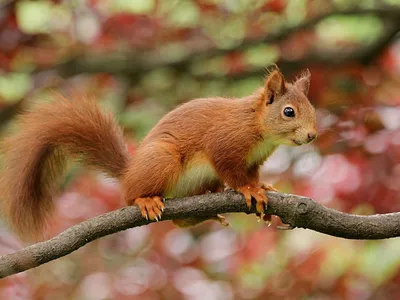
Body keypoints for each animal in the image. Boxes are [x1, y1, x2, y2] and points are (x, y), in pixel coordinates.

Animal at [0, 67, 318, 240]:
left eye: (312, 109)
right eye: (289, 112)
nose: (312, 135)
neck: (257, 124)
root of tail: (129, 172)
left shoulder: (254, 160)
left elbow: (251, 173)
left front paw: (261, 185)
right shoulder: (225, 143)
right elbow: (231, 170)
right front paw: (250, 190)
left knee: (179, 220)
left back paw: (208, 211)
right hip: (162, 160)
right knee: (132, 195)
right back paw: (146, 200)